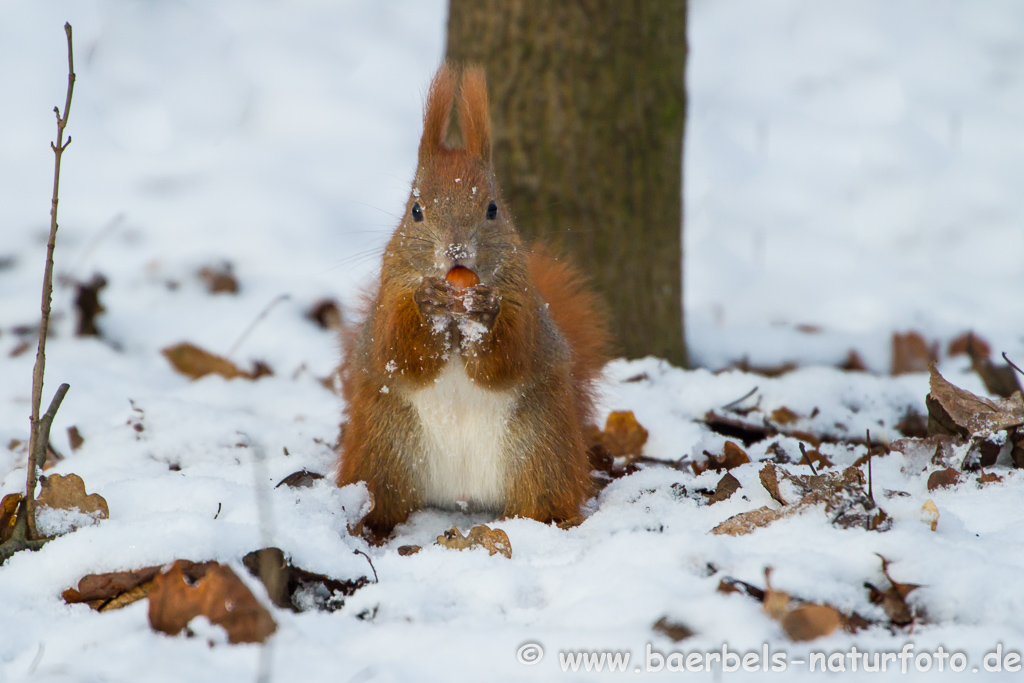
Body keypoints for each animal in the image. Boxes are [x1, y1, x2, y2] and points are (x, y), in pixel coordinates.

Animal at [335, 65, 606, 544]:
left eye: (493, 209)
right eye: (416, 210)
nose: (457, 251)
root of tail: (461, 496)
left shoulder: (524, 303)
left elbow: (510, 356)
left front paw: (486, 313)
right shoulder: (390, 294)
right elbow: (397, 351)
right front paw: (427, 304)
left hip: (540, 450)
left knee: (543, 499)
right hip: (382, 449)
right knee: (382, 497)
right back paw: (372, 526)